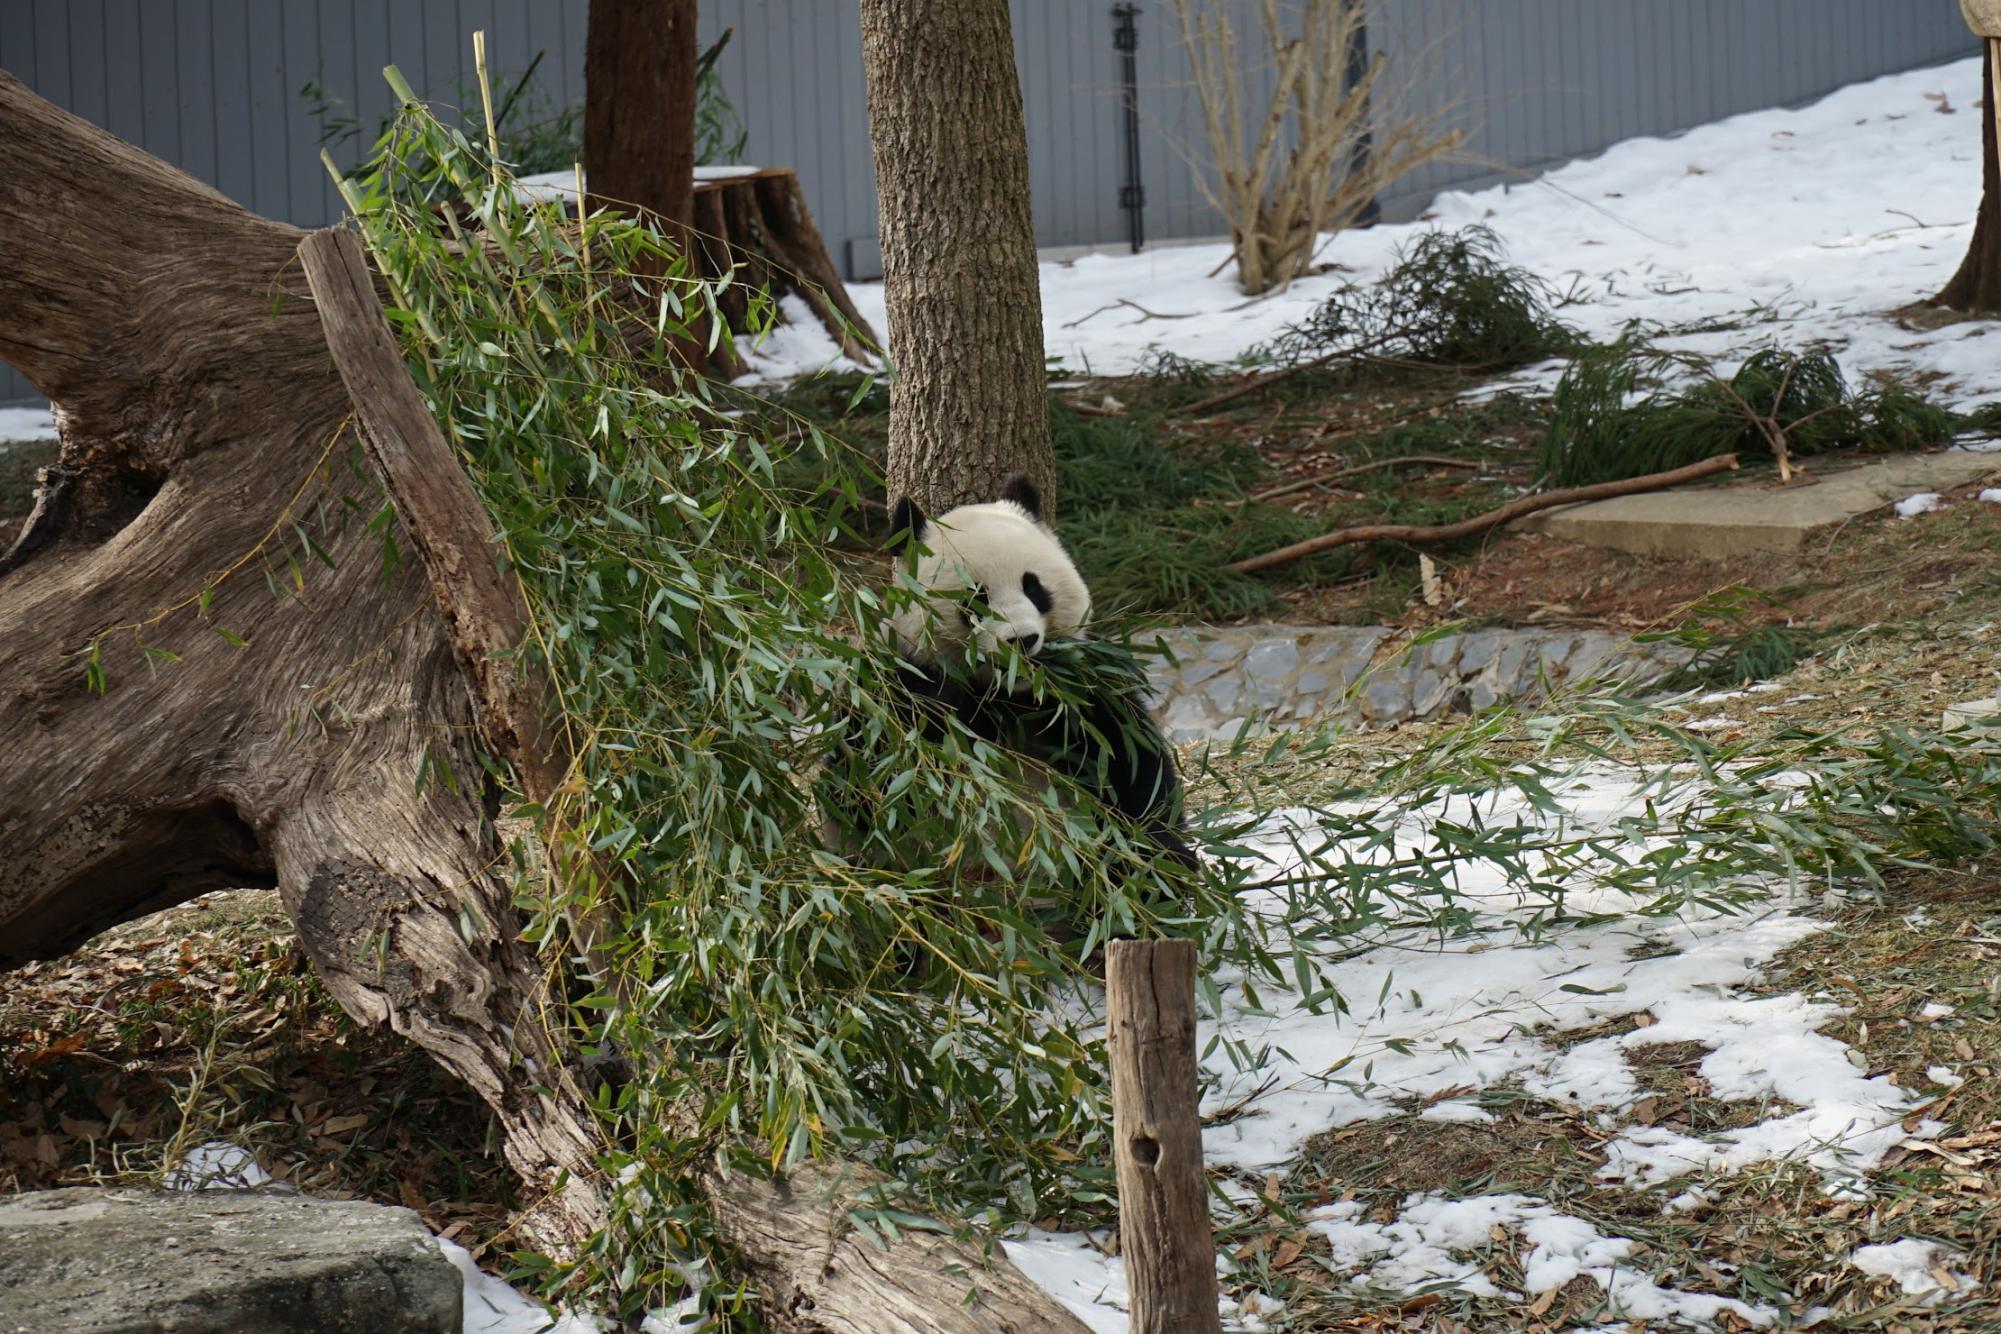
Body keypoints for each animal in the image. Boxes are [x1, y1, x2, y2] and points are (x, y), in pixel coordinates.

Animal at [824, 478, 1192, 876]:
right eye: (976, 598)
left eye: (1034, 587)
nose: (1022, 640)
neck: (1010, 694)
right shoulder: (894, 682)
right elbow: (870, 785)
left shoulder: (1080, 689)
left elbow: (1132, 763)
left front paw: (1161, 854)